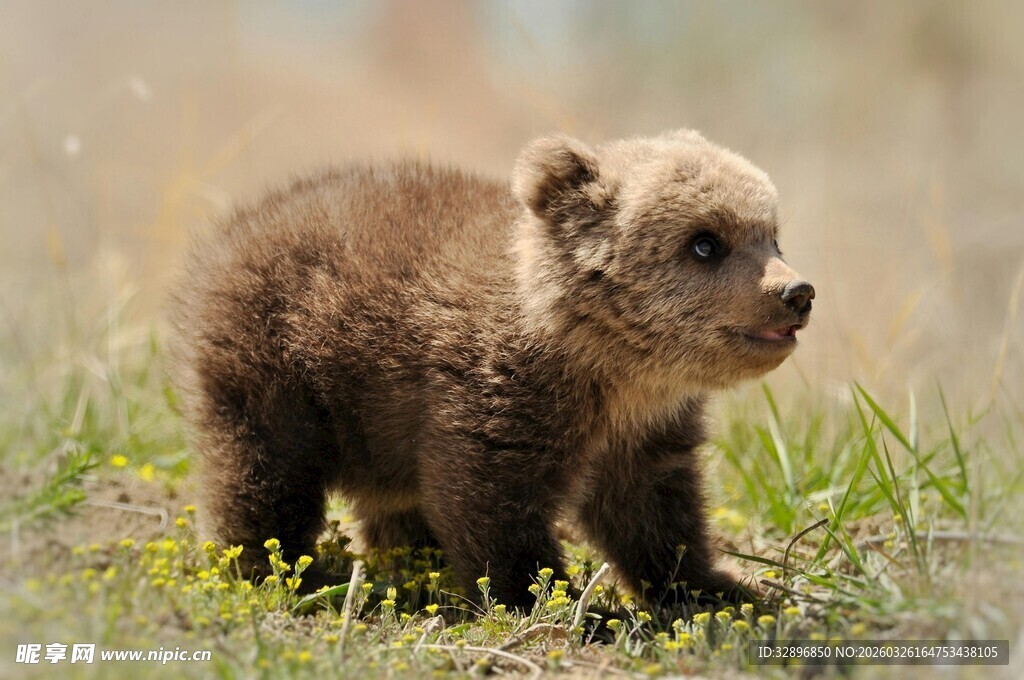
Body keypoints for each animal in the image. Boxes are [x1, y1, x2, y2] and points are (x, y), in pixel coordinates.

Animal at [168, 130, 814, 614]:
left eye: (771, 233)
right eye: (706, 242)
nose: (797, 292)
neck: (607, 368)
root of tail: (237, 227)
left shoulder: (644, 430)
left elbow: (654, 515)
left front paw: (719, 590)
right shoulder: (495, 398)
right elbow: (491, 505)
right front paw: (552, 601)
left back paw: (411, 563)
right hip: (277, 369)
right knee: (262, 474)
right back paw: (273, 572)